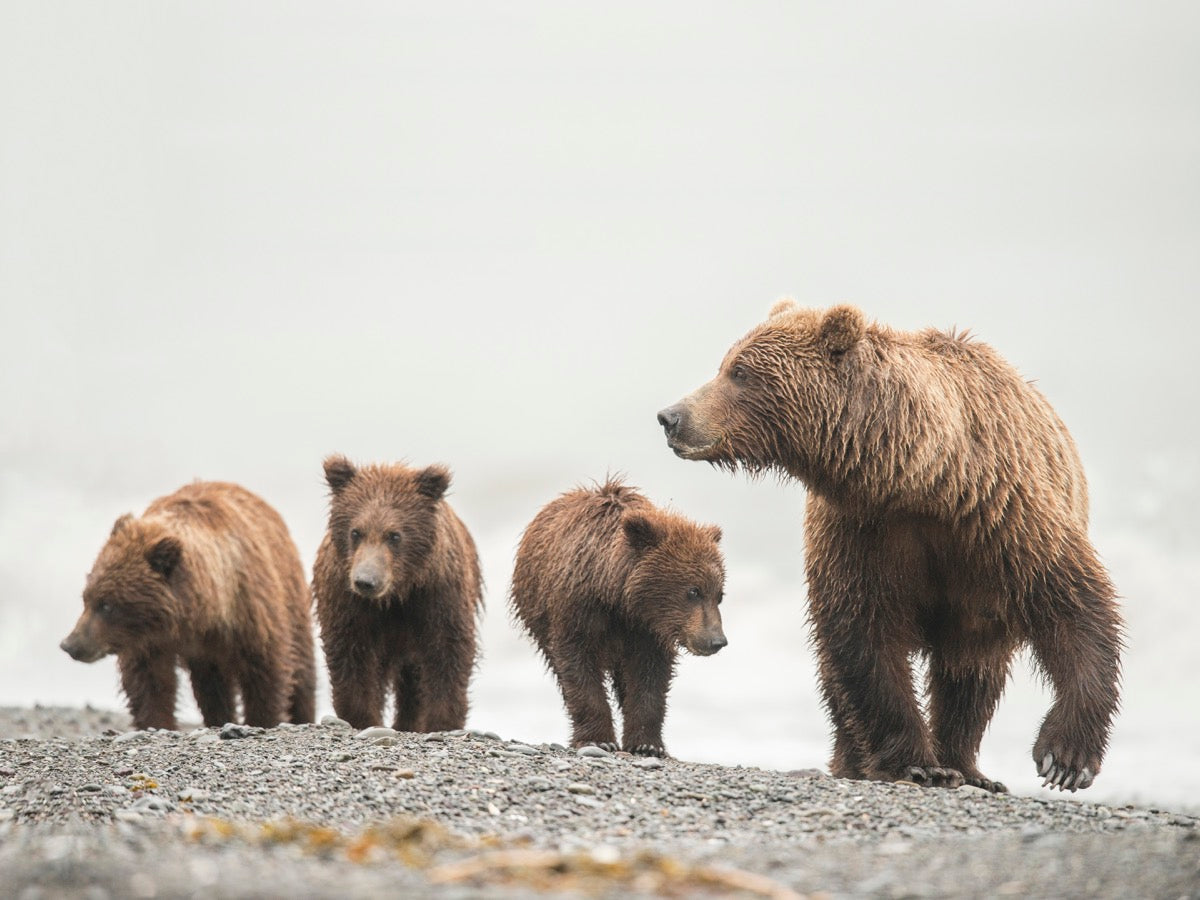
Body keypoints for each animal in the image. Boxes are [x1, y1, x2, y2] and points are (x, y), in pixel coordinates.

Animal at [61, 481, 317, 731]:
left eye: (107, 605)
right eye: (86, 598)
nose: (70, 644)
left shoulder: (250, 612)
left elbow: (265, 672)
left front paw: (264, 719)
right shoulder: (147, 642)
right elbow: (150, 682)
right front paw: (157, 723)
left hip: (291, 595)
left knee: (302, 666)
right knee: (212, 687)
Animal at [312, 455, 483, 732]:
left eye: (394, 535)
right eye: (355, 532)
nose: (365, 581)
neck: (395, 596)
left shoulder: (437, 595)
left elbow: (448, 651)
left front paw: (441, 721)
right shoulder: (347, 601)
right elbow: (350, 654)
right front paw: (362, 718)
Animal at [509, 478, 727, 757]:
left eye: (719, 594)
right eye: (693, 591)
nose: (716, 640)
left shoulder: (647, 631)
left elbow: (650, 678)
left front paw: (647, 744)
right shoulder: (576, 611)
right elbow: (578, 667)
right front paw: (598, 739)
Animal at [657, 300, 1123, 792]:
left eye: (739, 372)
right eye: (726, 364)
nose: (671, 417)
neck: (920, 477)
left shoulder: (1000, 515)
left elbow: (1074, 606)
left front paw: (1065, 758)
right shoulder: (862, 531)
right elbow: (865, 637)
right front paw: (916, 763)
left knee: (972, 673)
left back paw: (970, 767)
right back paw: (856, 760)